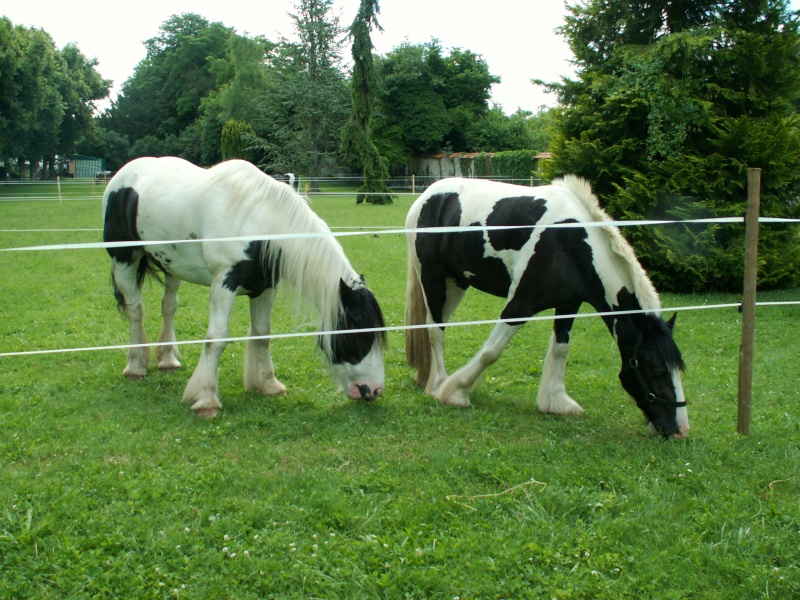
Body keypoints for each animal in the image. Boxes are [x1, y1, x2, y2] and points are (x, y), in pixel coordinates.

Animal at [101, 156, 386, 418]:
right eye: (358, 332)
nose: (373, 390)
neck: (260, 224)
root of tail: (123, 176)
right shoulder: (223, 283)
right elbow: (216, 339)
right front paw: (206, 399)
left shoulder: (265, 288)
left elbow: (262, 333)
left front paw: (268, 384)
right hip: (124, 259)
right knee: (135, 310)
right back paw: (135, 366)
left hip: (172, 266)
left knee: (168, 306)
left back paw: (168, 359)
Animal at [406, 176, 688, 438]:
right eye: (659, 372)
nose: (680, 430)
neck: (572, 242)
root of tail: (427, 196)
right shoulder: (520, 304)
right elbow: (491, 352)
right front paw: (455, 393)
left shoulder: (569, 303)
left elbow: (561, 349)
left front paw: (556, 402)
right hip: (432, 277)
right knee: (435, 330)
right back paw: (437, 384)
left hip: (455, 283)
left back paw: (426, 378)